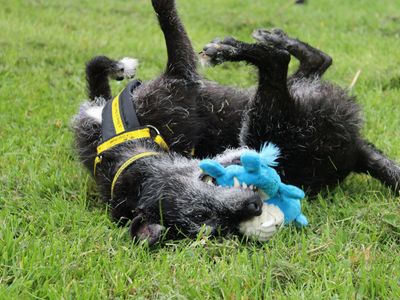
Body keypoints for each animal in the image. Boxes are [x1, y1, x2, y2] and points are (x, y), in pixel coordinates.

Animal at [72, 0, 400, 244]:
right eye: (210, 224)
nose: (253, 206)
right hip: (269, 119)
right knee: (278, 62)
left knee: (316, 60)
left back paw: (272, 38)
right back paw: (233, 49)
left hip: (287, 92)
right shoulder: (182, 73)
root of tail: (356, 153)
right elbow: (167, 17)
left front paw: (118, 67)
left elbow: (96, 67)